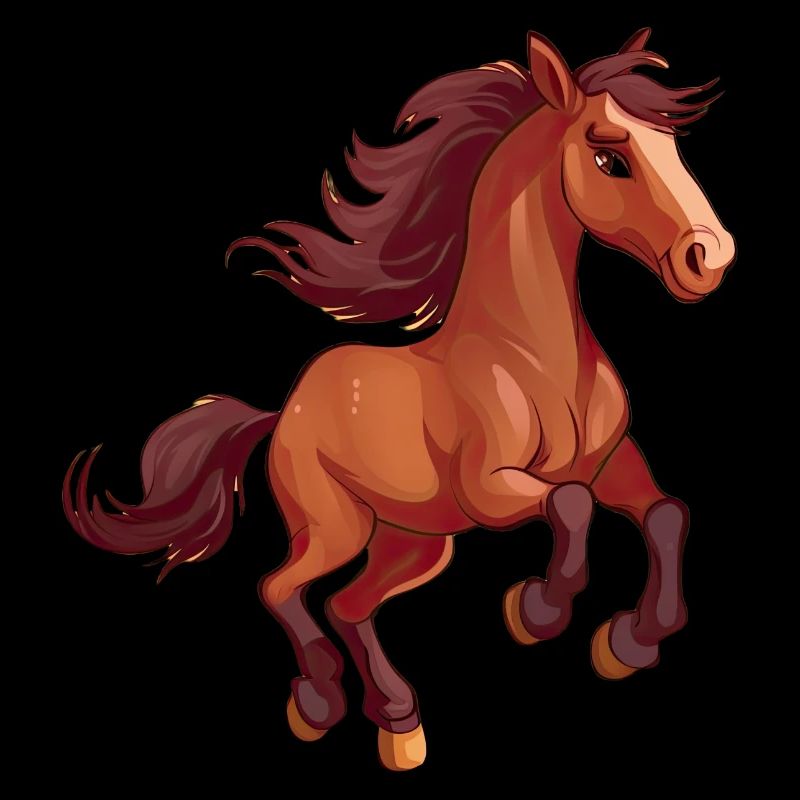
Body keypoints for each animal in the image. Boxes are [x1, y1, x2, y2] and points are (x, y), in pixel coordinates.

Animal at [63, 28, 735, 771]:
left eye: (671, 145)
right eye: (608, 154)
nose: (709, 257)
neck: (531, 356)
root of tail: (283, 410)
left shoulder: (611, 462)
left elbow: (665, 513)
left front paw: (628, 643)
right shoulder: (490, 488)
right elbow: (570, 506)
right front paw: (536, 611)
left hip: (415, 544)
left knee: (350, 607)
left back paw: (397, 722)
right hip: (335, 526)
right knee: (281, 589)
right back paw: (321, 703)